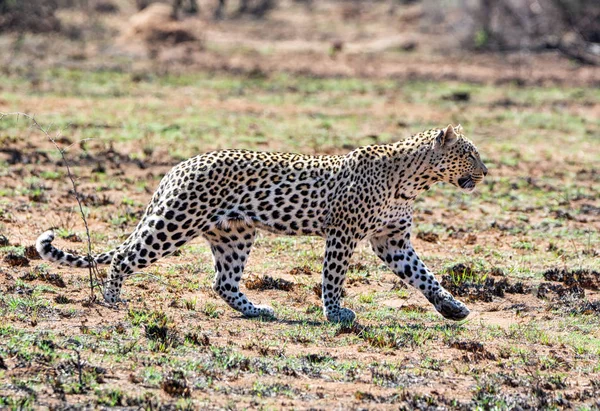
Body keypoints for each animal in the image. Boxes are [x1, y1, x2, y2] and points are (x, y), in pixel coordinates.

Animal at [35, 124, 488, 324]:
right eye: (470, 153)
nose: (486, 172)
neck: (413, 180)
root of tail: (178, 167)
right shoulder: (344, 233)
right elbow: (334, 277)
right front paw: (335, 312)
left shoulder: (391, 239)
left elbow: (424, 276)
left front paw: (452, 308)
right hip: (175, 223)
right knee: (125, 257)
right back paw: (113, 300)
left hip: (234, 233)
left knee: (223, 282)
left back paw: (257, 310)